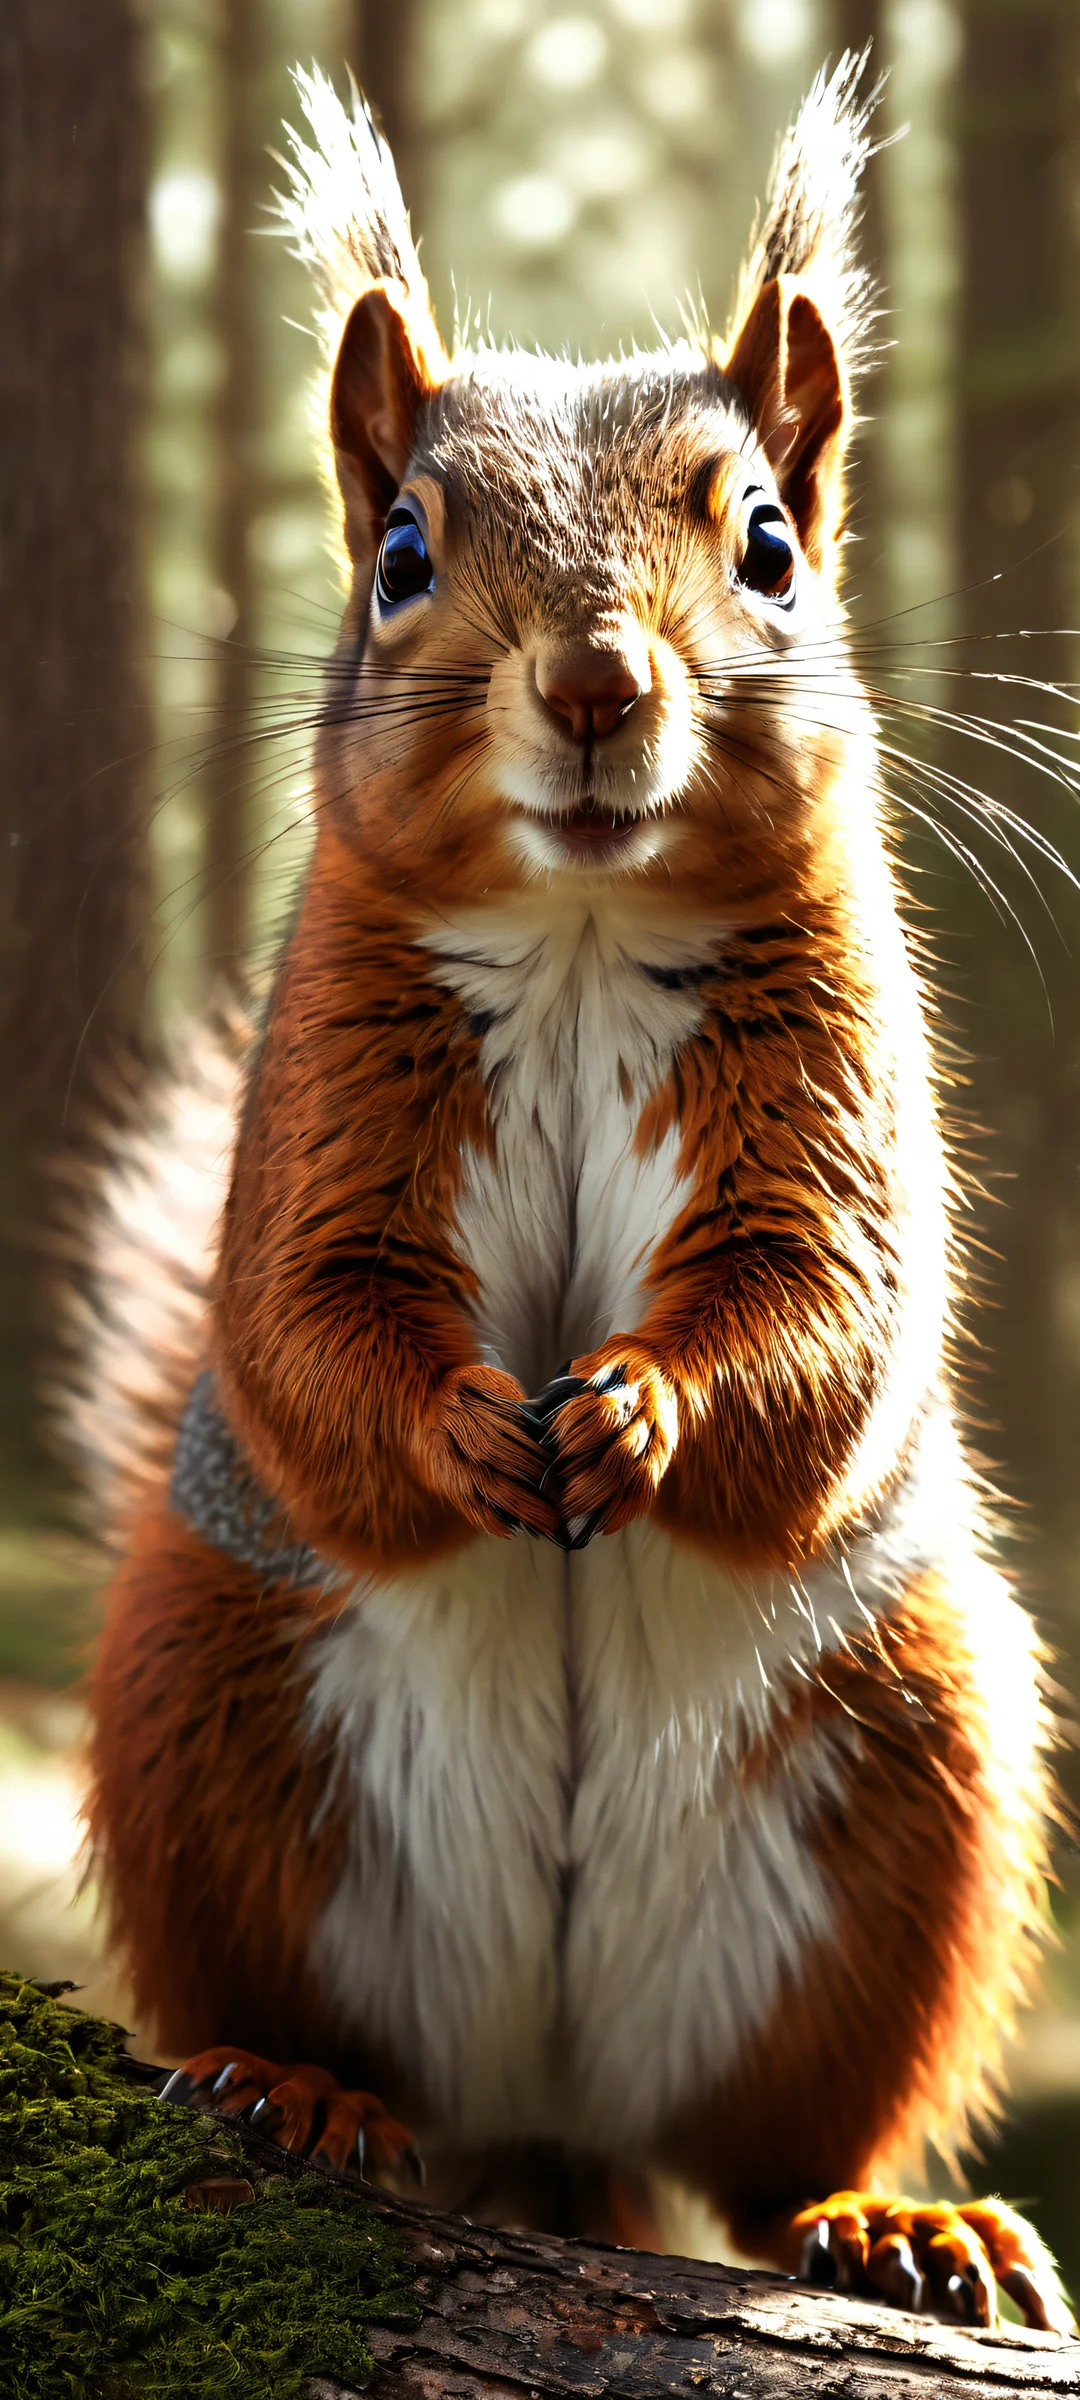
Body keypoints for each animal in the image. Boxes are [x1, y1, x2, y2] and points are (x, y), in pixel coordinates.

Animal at [69, 56, 1074, 2332]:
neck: (592, 929)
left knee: (783, 2151)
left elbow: (825, 1311)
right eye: (402, 552)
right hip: (201, 1712)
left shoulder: (832, 1088)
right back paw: (297, 2087)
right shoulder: (330, 1088)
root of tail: (546, 2126)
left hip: (920, 1784)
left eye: (771, 539)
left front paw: (646, 1415)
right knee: (293, 2010)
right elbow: (309, 1317)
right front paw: (467, 1425)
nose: (602, 683)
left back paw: (892, 2218)